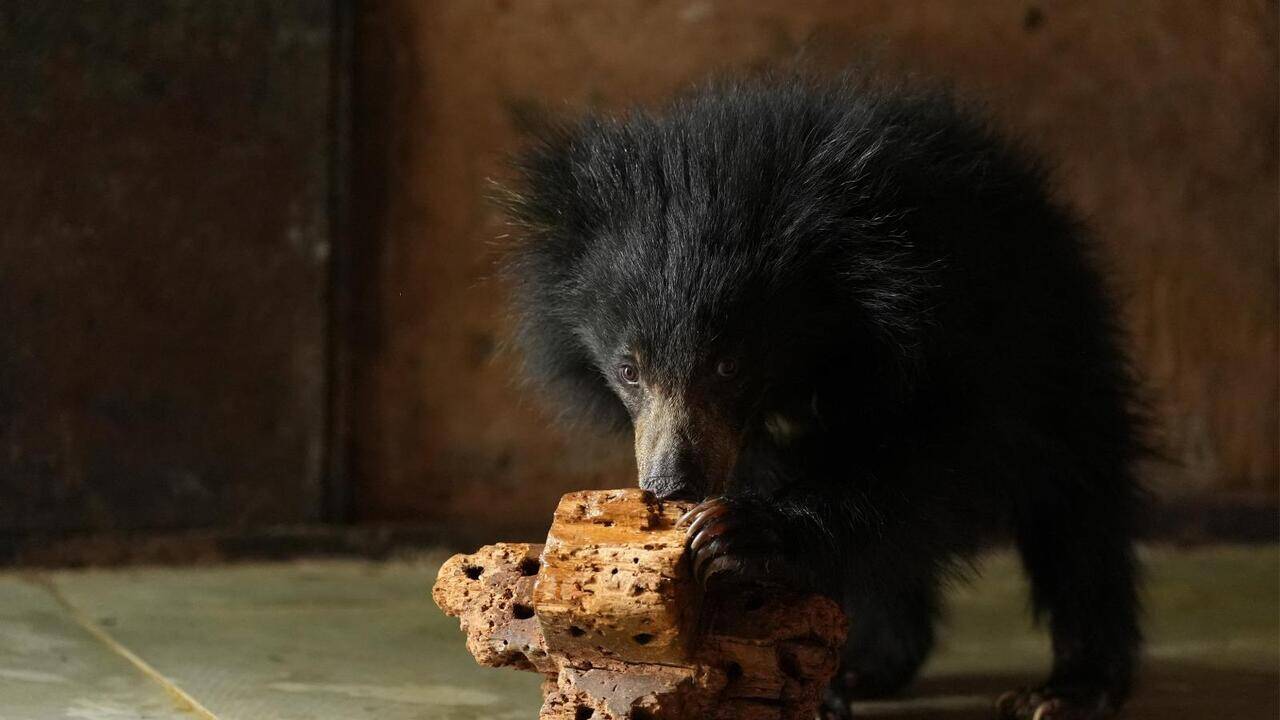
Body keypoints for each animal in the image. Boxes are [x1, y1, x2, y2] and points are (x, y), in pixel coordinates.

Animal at [499, 73, 1144, 720]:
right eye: (629, 370)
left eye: (728, 365)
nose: (672, 486)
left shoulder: (955, 321)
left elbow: (945, 451)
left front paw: (739, 533)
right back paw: (865, 666)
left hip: (1058, 335)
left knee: (1077, 501)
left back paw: (1067, 689)